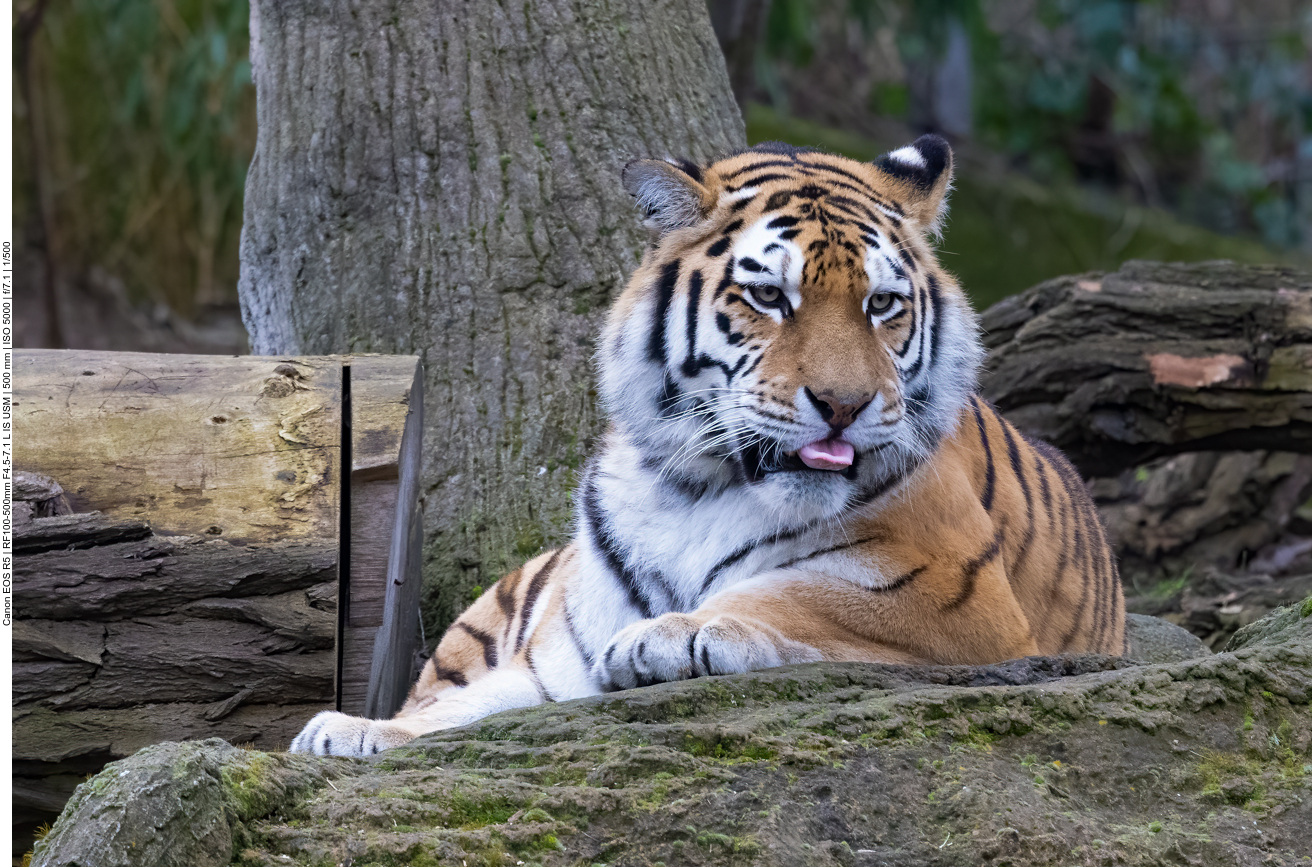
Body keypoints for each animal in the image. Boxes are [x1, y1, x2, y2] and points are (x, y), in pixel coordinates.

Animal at [291, 134, 1125, 757]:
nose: (845, 405)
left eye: (882, 304)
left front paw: (670, 635)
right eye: (769, 296)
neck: (695, 485)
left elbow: (794, 593)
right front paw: (354, 730)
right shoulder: (553, 655)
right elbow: (465, 706)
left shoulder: (956, 596)